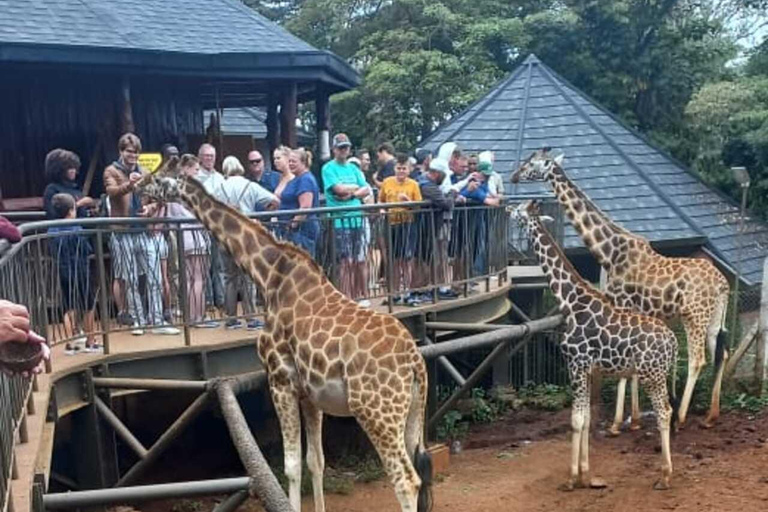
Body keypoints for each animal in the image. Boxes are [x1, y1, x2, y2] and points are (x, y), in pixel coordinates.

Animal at [136, 156, 433, 512]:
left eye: (160, 176)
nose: (137, 187)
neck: (268, 275)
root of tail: (414, 361)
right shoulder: (310, 395)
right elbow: (315, 463)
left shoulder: (279, 381)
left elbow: (290, 467)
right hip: (412, 411)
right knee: (418, 469)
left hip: (376, 412)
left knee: (406, 479)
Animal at [511, 149, 730, 432]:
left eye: (532, 163)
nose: (514, 176)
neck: (610, 251)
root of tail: (723, 283)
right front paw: (633, 419)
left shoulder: (622, 304)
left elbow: (625, 372)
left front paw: (618, 423)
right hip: (713, 317)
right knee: (721, 353)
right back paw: (711, 416)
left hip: (694, 315)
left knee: (697, 359)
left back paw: (681, 417)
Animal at [511, 199, 678, 490]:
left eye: (520, 210)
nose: (509, 211)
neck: (569, 300)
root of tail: (673, 341)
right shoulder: (588, 368)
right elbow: (588, 418)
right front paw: (586, 475)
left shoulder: (575, 364)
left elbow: (576, 419)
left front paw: (571, 479)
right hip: (659, 374)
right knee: (665, 410)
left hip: (651, 374)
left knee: (664, 412)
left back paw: (665, 476)